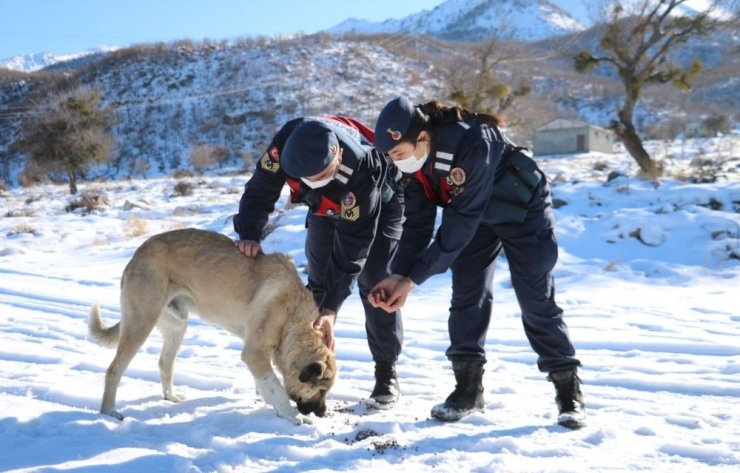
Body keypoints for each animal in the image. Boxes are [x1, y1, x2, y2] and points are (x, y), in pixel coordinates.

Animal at [88, 227, 336, 422]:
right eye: (321, 389)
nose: (322, 413)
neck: (293, 317)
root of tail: (137, 254)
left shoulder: (258, 353)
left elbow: (266, 383)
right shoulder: (253, 352)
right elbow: (276, 386)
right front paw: (292, 416)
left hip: (177, 326)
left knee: (164, 363)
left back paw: (170, 396)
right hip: (141, 323)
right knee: (113, 370)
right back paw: (109, 412)